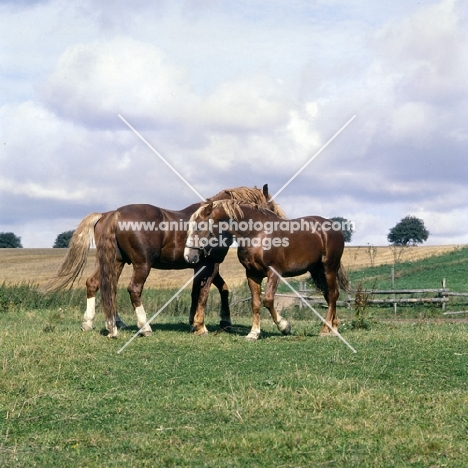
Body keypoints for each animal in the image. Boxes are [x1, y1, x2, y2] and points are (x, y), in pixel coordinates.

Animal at [44, 185, 286, 338]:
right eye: (271, 208)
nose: (280, 223)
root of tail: (113, 214)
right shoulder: (210, 263)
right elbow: (206, 292)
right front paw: (201, 325)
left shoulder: (201, 265)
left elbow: (209, 290)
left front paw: (203, 322)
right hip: (141, 264)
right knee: (133, 289)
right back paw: (144, 327)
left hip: (114, 261)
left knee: (99, 285)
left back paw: (100, 323)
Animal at [185, 200, 350, 340]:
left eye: (199, 227)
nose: (189, 255)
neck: (257, 233)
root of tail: (334, 228)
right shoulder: (252, 274)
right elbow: (256, 303)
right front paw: (253, 333)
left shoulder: (274, 272)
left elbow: (268, 300)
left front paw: (284, 326)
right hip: (317, 271)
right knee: (329, 296)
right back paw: (334, 329)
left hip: (329, 268)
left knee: (333, 295)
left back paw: (325, 330)